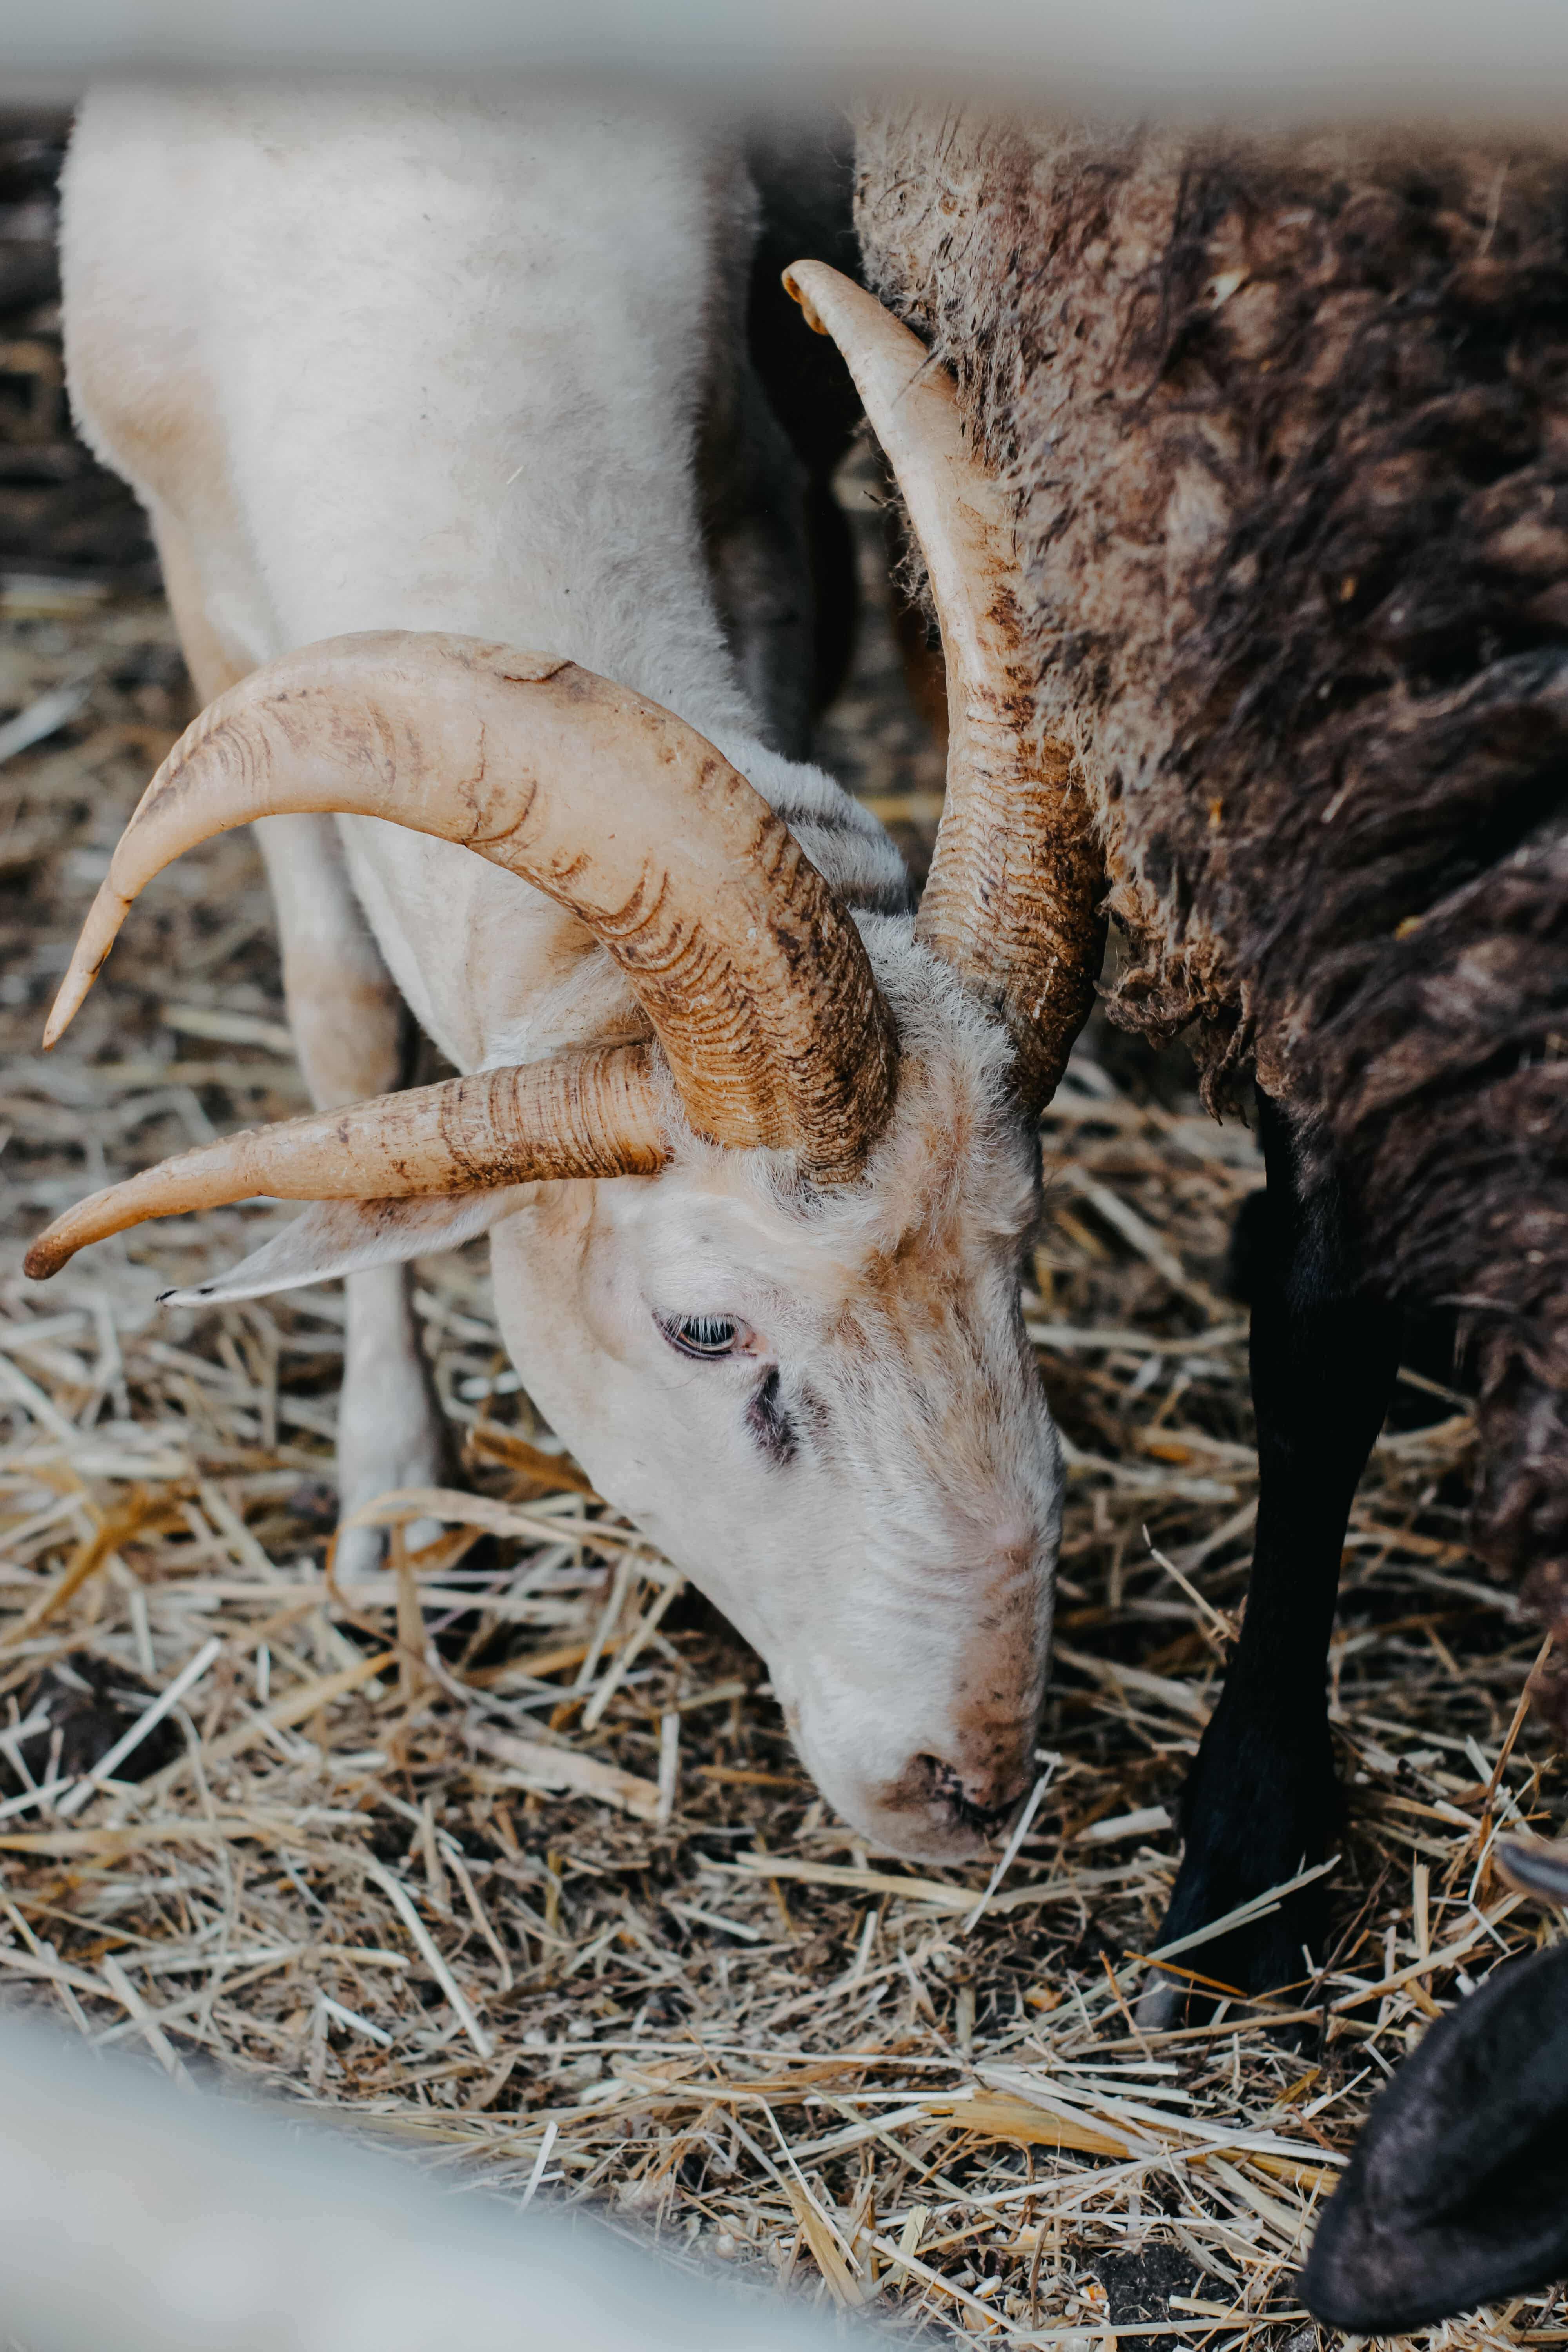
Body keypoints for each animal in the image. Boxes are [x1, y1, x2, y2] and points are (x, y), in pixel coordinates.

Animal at [25, 85, 1102, 1864]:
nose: (966, 1782)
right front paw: (393, 1488)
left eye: (1024, 1251)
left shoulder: (753, 502)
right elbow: (338, 1017)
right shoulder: (206, 595)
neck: (429, 283)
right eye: (703, 1332)